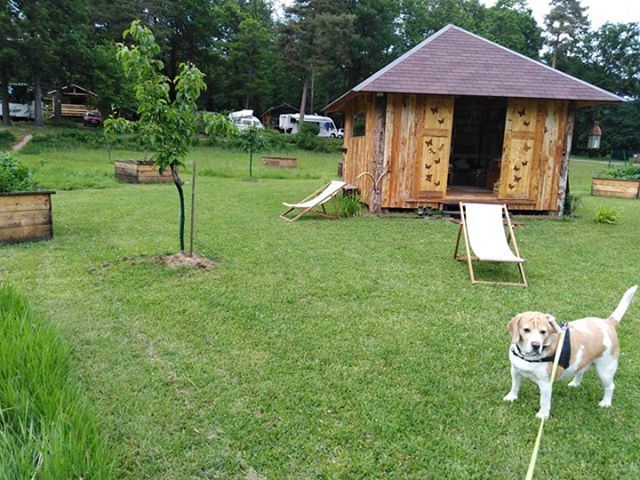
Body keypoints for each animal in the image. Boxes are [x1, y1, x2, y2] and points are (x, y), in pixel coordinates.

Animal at [504, 286, 636, 418]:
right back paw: (575, 384)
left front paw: (543, 416)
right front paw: (511, 397)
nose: (536, 345)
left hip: (606, 370)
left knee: (610, 386)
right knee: (581, 371)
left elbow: (544, 401)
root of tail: (608, 322)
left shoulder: (546, 383)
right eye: (526, 330)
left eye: (543, 332)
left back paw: (606, 403)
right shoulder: (515, 370)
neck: (528, 357)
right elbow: (515, 386)